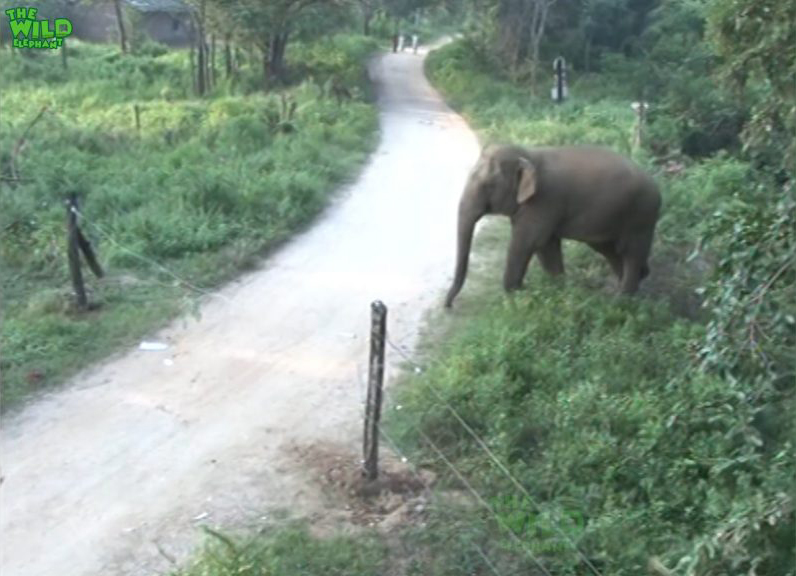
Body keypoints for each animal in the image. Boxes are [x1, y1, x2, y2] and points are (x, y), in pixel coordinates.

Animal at [444, 144, 664, 308]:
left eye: (488, 185)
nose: (448, 306)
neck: (528, 156)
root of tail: (657, 186)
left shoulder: (543, 201)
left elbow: (529, 243)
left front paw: (516, 297)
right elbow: (546, 247)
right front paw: (559, 292)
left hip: (641, 215)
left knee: (631, 253)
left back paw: (622, 301)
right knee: (610, 250)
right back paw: (629, 284)